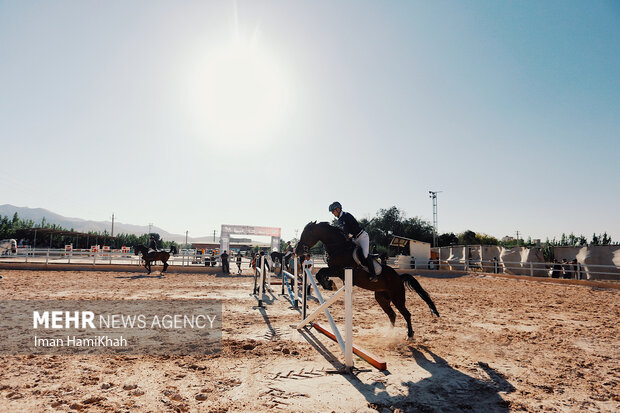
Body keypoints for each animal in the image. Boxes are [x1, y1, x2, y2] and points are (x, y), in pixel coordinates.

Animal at [296, 220, 438, 340]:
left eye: (307, 233)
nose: (297, 251)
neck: (339, 247)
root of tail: (399, 277)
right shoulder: (336, 271)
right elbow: (320, 274)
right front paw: (329, 284)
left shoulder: (339, 270)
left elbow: (321, 273)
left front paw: (330, 284)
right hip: (381, 298)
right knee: (392, 314)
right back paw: (388, 334)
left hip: (397, 298)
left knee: (406, 314)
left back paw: (409, 335)